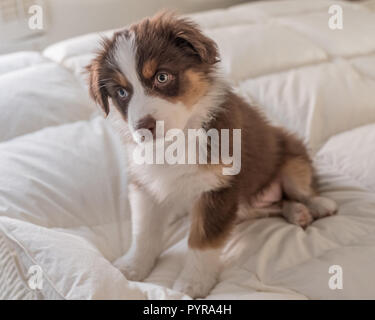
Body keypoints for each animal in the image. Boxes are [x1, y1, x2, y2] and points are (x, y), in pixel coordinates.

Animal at [87, 11, 338, 298]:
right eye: (121, 92)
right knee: (276, 204)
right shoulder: (145, 185)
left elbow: (202, 240)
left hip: (292, 160)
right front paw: (133, 266)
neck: (177, 140)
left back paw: (318, 205)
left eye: (162, 77)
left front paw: (193, 283)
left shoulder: (218, 188)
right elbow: (144, 232)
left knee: (302, 189)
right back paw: (297, 213)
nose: (143, 127)